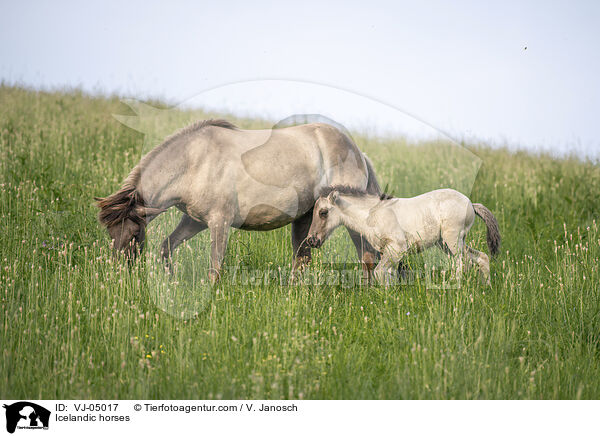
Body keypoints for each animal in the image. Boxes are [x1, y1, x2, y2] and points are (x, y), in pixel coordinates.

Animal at [95, 119, 382, 282]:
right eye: (110, 232)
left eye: (134, 233)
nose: (117, 274)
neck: (195, 162)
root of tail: (358, 151)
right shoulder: (195, 220)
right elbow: (166, 247)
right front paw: (170, 284)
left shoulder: (219, 222)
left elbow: (215, 268)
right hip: (306, 219)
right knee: (302, 261)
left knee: (367, 258)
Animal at [308, 186, 500, 284]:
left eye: (323, 212)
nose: (312, 240)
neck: (372, 214)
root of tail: (471, 204)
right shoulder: (388, 252)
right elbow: (389, 274)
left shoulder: (397, 248)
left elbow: (379, 272)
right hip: (446, 244)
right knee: (481, 258)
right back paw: (486, 287)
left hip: (452, 241)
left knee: (461, 264)